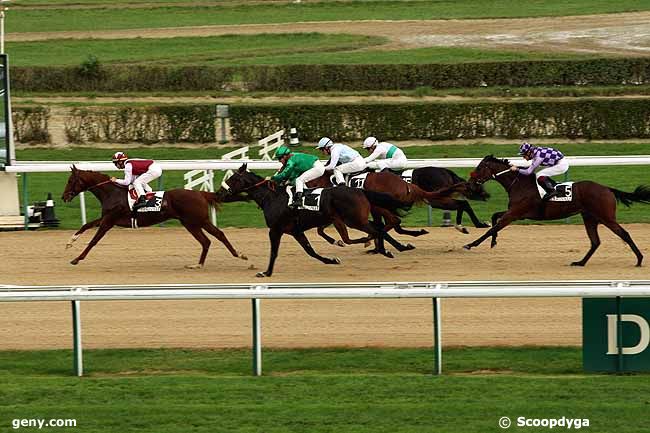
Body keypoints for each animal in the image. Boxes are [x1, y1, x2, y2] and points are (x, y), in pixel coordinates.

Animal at [62, 165, 247, 266]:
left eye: (70, 181)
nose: (64, 197)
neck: (112, 192)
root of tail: (200, 193)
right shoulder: (107, 217)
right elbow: (85, 225)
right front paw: (70, 242)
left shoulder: (109, 221)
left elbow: (94, 240)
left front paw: (77, 258)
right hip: (191, 223)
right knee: (207, 240)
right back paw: (200, 264)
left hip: (198, 220)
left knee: (217, 235)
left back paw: (239, 254)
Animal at [218, 162, 410, 276]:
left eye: (233, 178)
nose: (220, 192)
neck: (271, 198)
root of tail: (359, 190)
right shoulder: (295, 231)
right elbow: (310, 251)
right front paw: (331, 260)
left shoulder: (275, 230)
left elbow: (274, 252)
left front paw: (266, 273)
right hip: (351, 219)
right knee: (375, 230)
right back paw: (390, 246)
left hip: (354, 220)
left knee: (376, 230)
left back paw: (385, 249)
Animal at [460, 154, 648, 264]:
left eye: (479, 168)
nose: (470, 183)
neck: (519, 184)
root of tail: (607, 189)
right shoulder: (517, 213)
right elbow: (494, 219)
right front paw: (494, 242)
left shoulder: (514, 214)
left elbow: (493, 228)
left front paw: (470, 244)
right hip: (589, 217)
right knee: (595, 241)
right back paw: (580, 262)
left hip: (606, 217)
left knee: (624, 234)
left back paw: (639, 259)